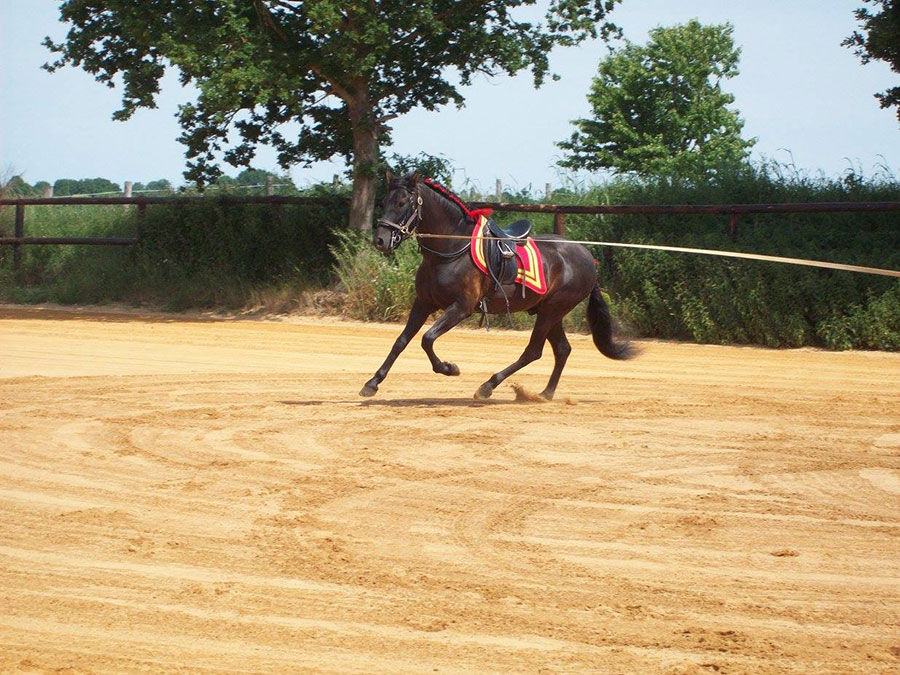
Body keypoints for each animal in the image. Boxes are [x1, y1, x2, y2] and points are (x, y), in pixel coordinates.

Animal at [358, 172, 632, 402]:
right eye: (384, 202)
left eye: (402, 203)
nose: (381, 240)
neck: (450, 250)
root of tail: (588, 257)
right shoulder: (423, 303)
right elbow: (401, 341)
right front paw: (372, 383)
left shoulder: (461, 307)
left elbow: (427, 339)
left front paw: (449, 368)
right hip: (549, 311)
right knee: (562, 350)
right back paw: (544, 393)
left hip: (553, 310)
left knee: (533, 351)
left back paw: (488, 386)